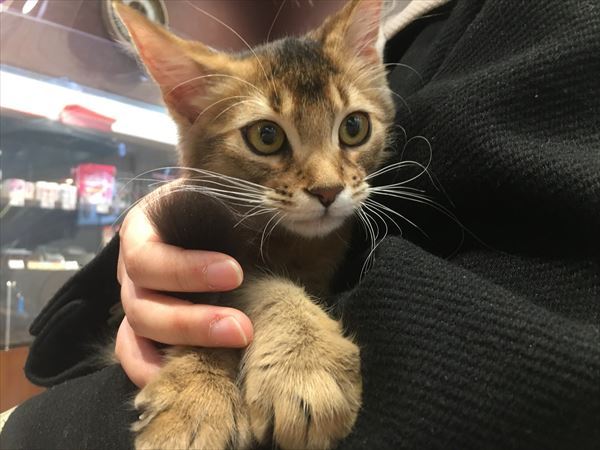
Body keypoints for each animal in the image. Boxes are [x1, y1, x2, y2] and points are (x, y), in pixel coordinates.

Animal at [114, 1, 395, 448]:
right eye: (266, 136)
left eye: (354, 127)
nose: (328, 191)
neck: (295, 250)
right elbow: (240, 289)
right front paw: (197, 395)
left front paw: (303, 363)